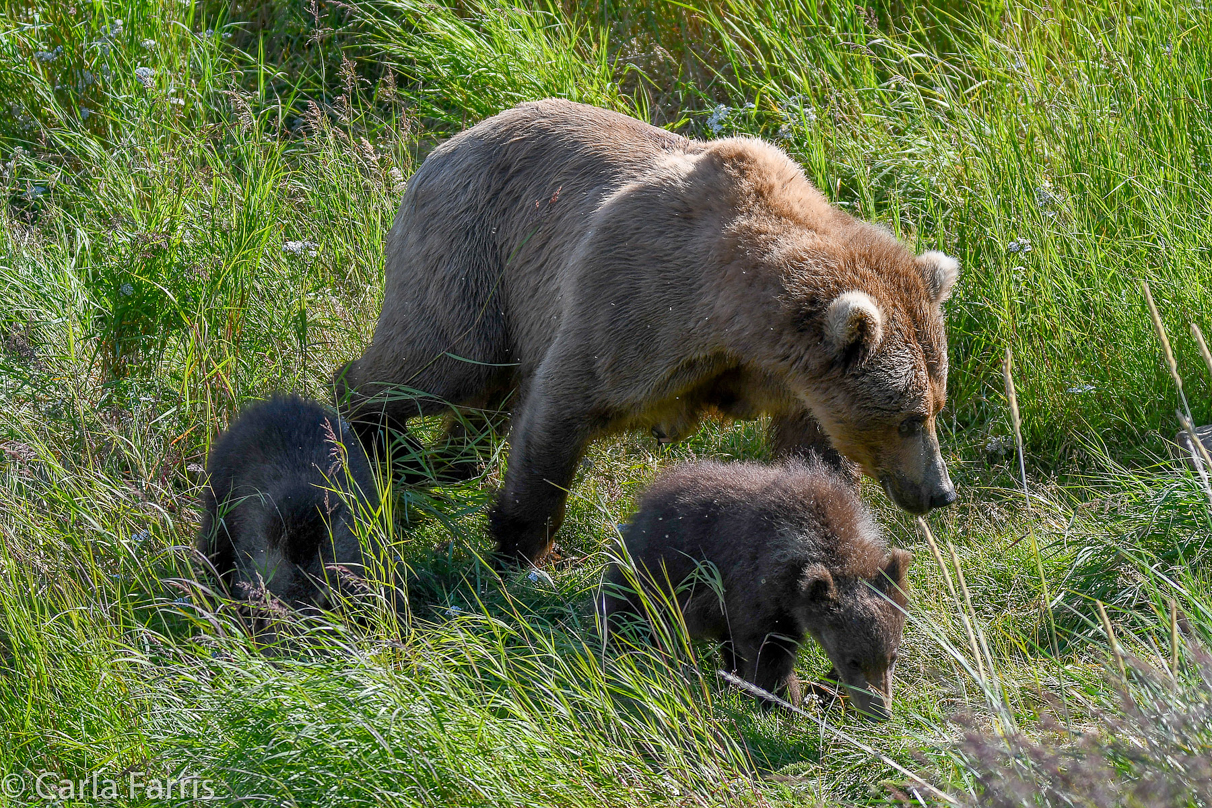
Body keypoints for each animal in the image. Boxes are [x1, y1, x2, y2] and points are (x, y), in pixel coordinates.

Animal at [339, 98, 955, 566]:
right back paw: (376, 440)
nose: (939, 492)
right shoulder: (637, 305)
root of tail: (445, 146)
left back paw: (441, 460)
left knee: (482, 398)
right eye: (908, 417)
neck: (735, 327)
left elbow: (815, 462)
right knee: (441, 360)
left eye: (935, 405)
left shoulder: (795, 385)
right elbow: (562, 405)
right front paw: (523, 546)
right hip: (475, 251)